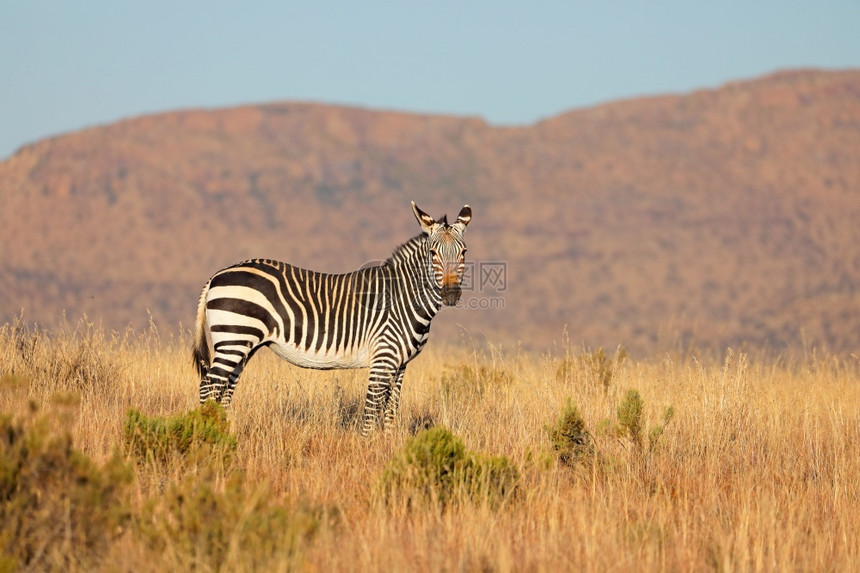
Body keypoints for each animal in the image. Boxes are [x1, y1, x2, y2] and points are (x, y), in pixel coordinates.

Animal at [192, 201, 474, 434]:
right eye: (433, 254)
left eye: (463, 252)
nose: (450, 293)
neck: (403, 297)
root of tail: (217, 274)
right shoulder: (382, 359)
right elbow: (371, 412)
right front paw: (367, 450)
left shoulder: (400, 364)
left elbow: (390, 412)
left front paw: (389, 446)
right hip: (234, 338)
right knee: (209, 386)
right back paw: (207, 436)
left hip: (242, 345)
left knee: (224, 390)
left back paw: (223, 435)